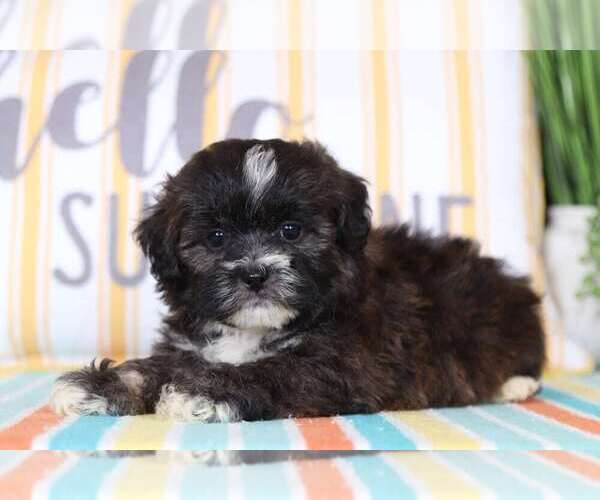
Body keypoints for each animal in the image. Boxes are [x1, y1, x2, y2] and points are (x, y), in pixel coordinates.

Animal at [51, 138, 548, 422]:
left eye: (291, 231)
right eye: (216, 238)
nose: (255, 273)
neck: (251, 330)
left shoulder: (345, 363)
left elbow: (277, 370)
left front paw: (206, 391)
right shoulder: (188, 345)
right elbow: (157, 366)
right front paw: (103, 385)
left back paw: (513, 384)